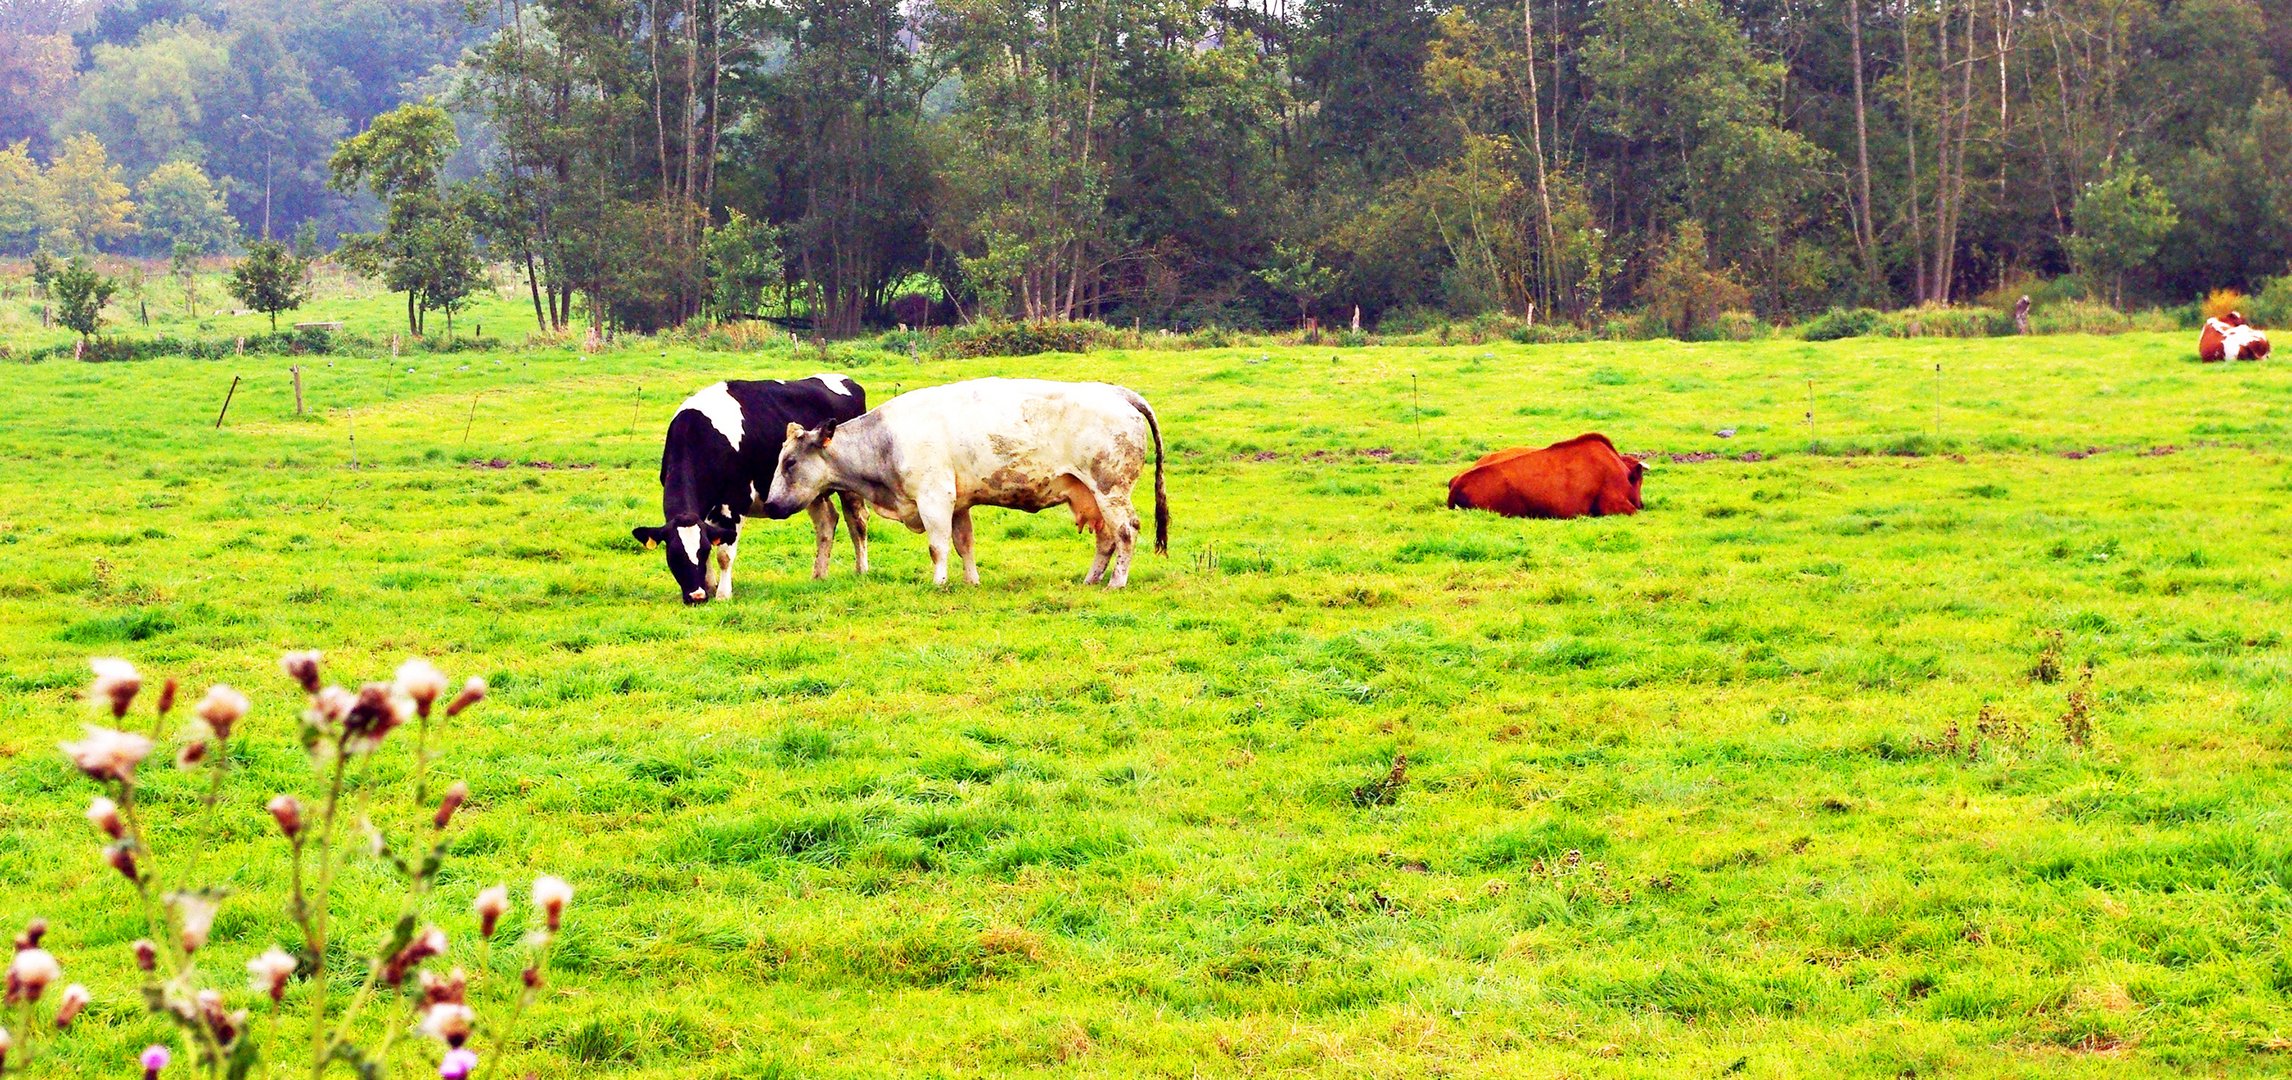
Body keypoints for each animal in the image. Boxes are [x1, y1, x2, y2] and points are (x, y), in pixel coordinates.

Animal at [628, 376, 866, 605]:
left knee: (858, 521)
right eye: (674, 556)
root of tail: (848, 381)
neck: (698, 434)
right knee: (827, 520)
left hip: (851, 485)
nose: (696, 597)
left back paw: (861, 570)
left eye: (701, 551)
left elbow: (724, 554)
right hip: (808, 490)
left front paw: (723, 595)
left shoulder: (736, 501)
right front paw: (710, 587)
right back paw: (819, 576)